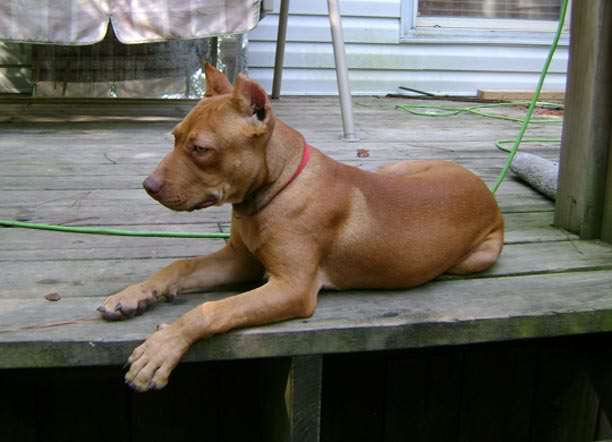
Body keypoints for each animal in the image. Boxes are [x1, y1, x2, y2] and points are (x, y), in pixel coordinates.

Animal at [99, 64, 502, 390]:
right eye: (174, 136)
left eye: (201, 149)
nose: (148, 185)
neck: (277, 186)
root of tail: (484, 188)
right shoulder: (240, 260)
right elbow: (179, 266)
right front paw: (132, 295)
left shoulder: (291, 287)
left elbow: (212, 309)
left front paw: (161, 349)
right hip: (396, 170)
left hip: (476, 258)